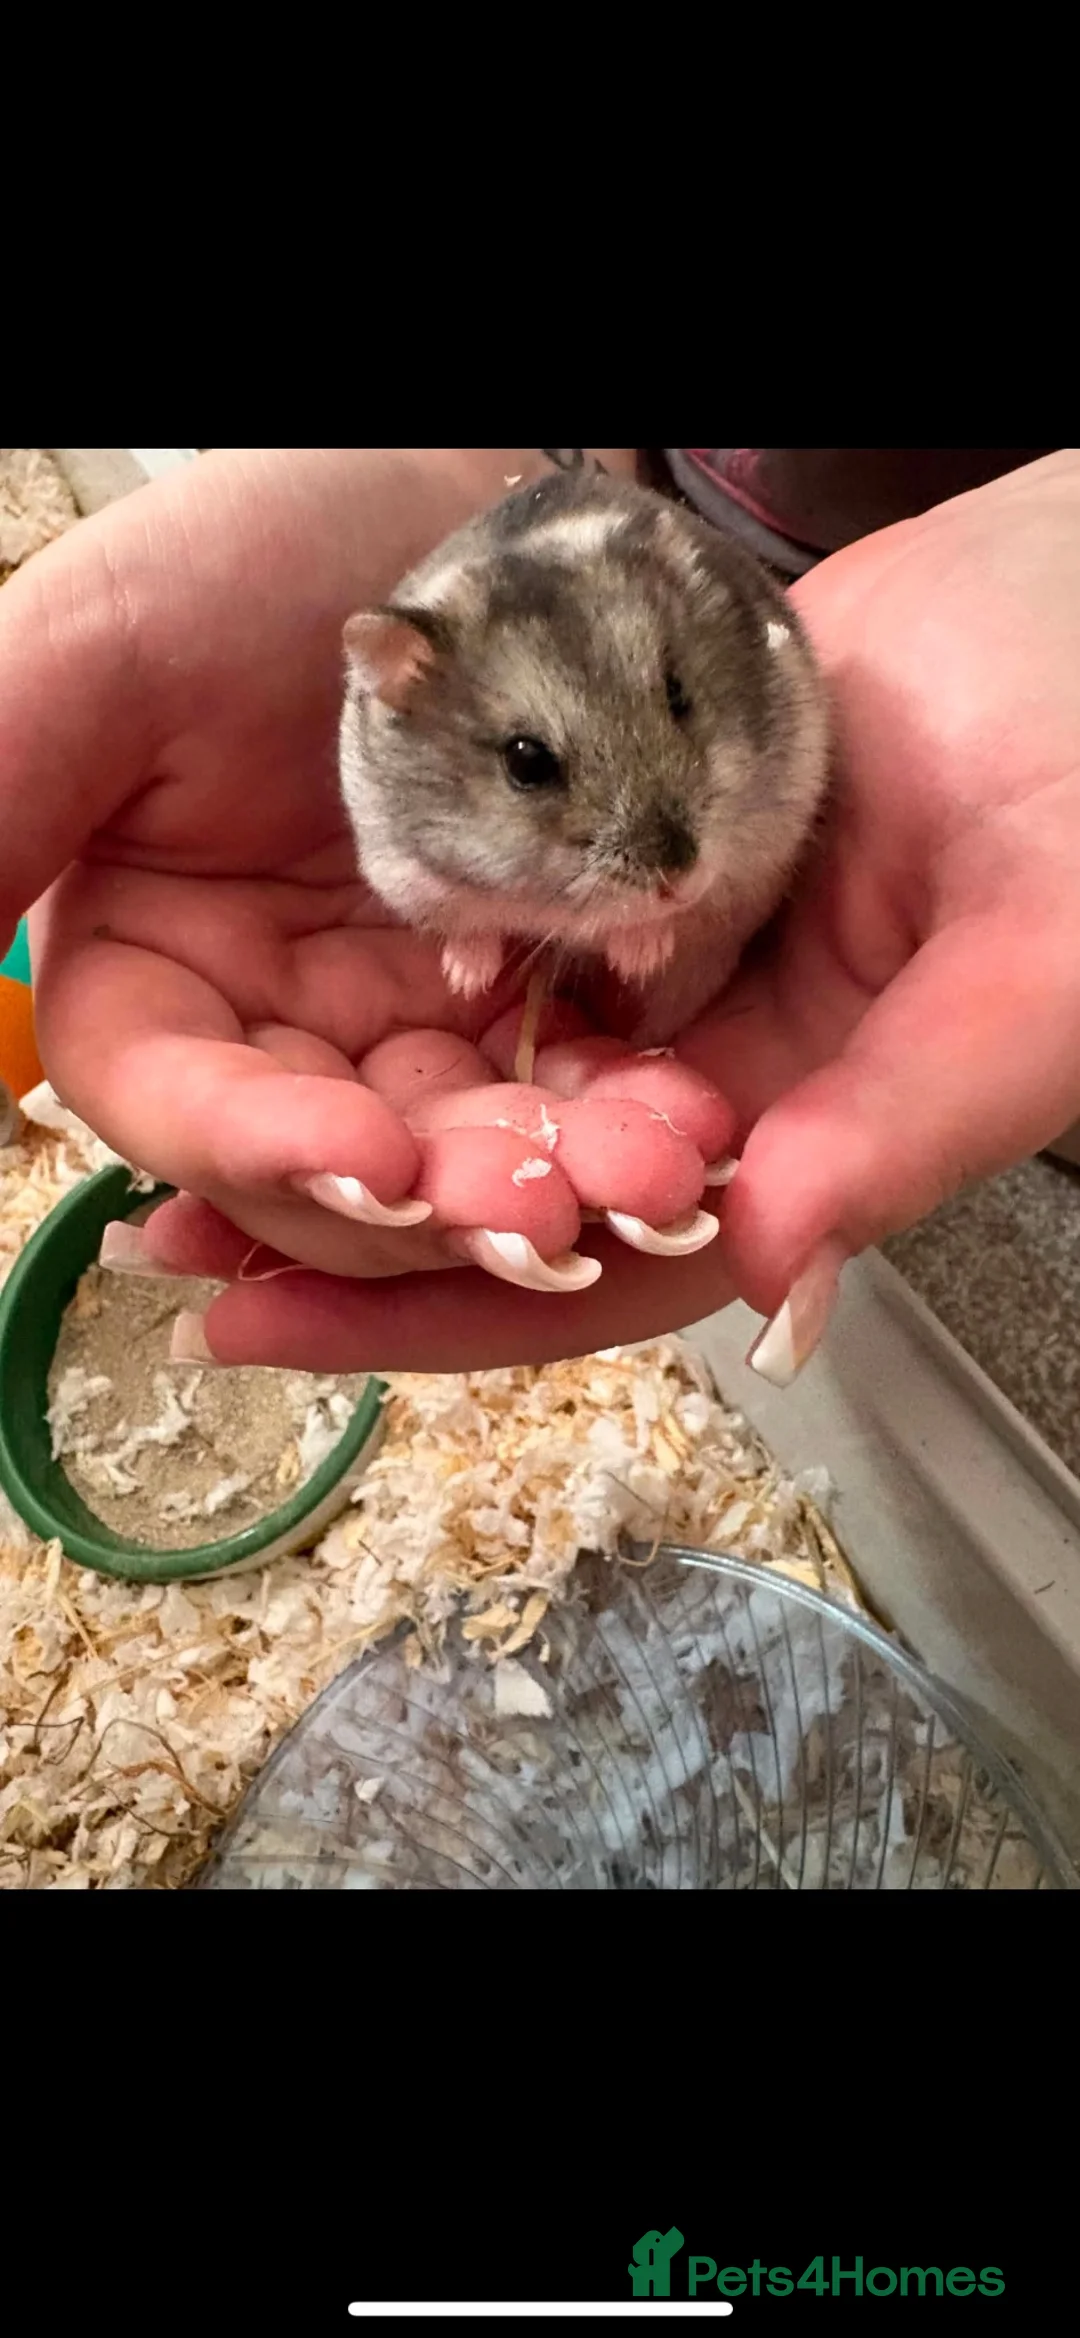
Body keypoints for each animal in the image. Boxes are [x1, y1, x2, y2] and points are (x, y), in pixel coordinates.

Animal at [338, 469, 829, 1046]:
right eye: (525, 762)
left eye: (678, 694)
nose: (682, 882)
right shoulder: (406, 873)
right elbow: (466, 926)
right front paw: (467, 981)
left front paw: (638, 957)